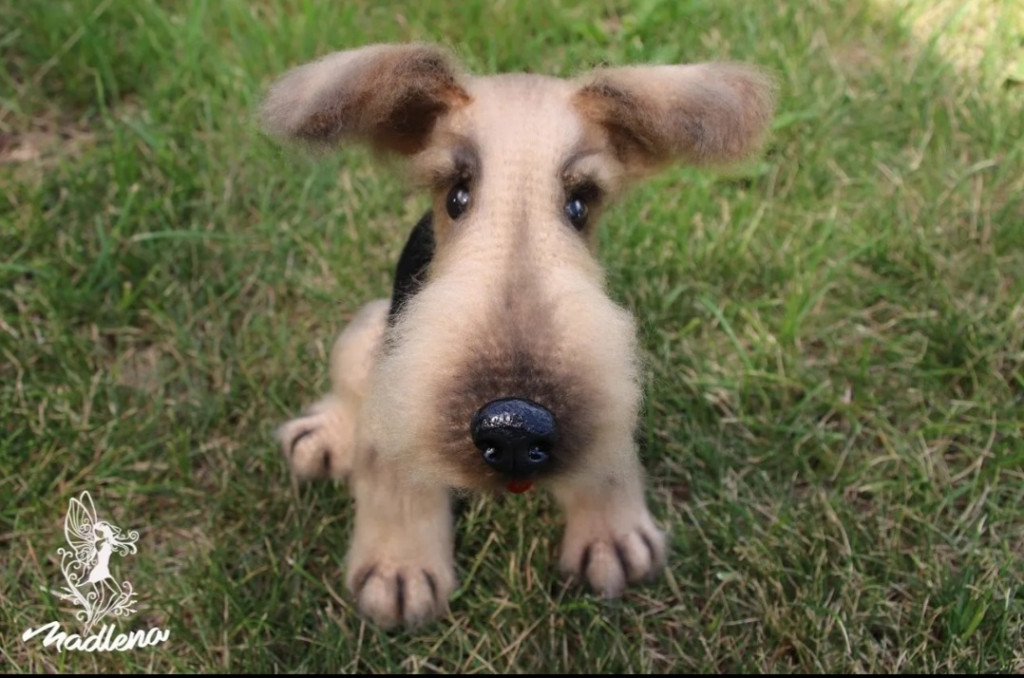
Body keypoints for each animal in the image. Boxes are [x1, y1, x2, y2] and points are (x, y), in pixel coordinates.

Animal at [261, 43, 775, 629]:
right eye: (455, 196)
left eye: (581, 204)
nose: (513, 427)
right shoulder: (399, 391)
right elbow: (392, 474)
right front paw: (399, 570)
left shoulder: (611, 386)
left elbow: (611, 456)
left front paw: (613, 537)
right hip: (366, 333)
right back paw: (320, 438)